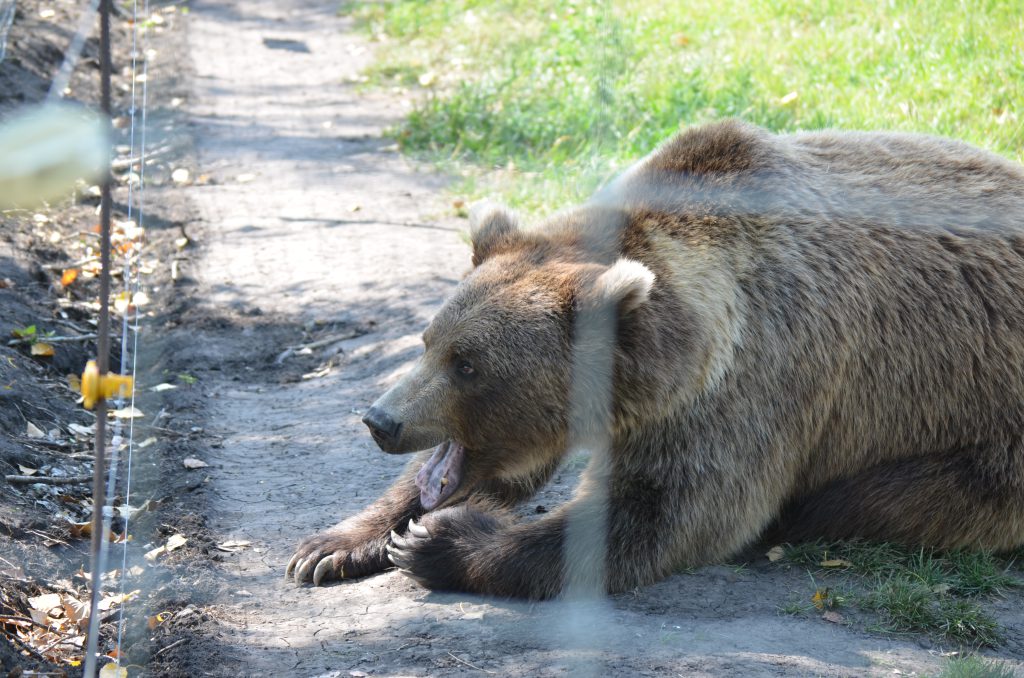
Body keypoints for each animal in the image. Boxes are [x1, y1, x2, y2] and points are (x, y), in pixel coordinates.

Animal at [286, 120, 1024, 602]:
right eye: (428, 342)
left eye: (471, 365)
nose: (381, 420)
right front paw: (332, 545)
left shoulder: (758, 376)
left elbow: (671, 511)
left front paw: (439, 542)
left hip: (982, 435)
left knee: (888, 497)